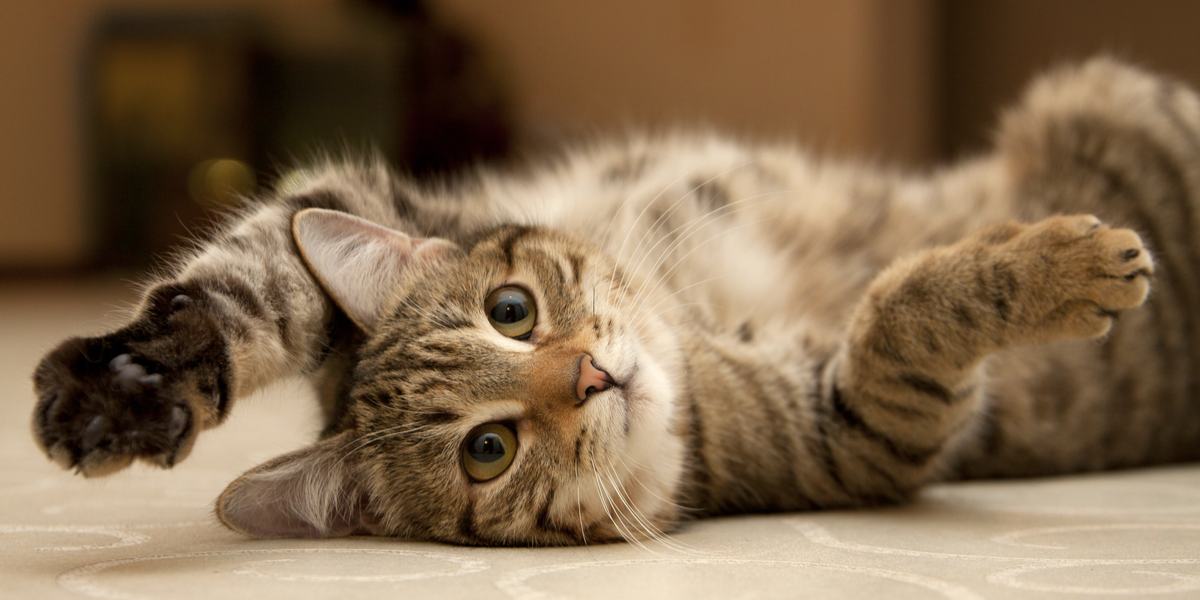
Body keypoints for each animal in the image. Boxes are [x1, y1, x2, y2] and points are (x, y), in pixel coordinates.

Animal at [25, 57, 1200, 544]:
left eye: (511, 310)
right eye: (486, 451)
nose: (591, 374)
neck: (685, 320)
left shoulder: (374, 195)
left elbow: (246, 288)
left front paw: (128, 385)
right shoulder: (865, 426)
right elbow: (904, 308)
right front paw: (1066, 266)